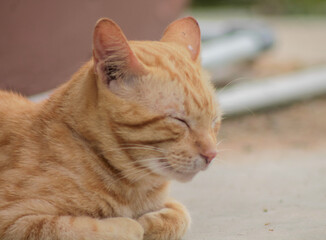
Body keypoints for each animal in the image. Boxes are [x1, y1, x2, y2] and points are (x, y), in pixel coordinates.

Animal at [0, 17, 222, 240]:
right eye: (179, 120)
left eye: (214, 121)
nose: (212, 155)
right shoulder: (14, 220)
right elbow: (100, 228)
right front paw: (136, 225)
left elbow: (180, 214)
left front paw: (150, 222)